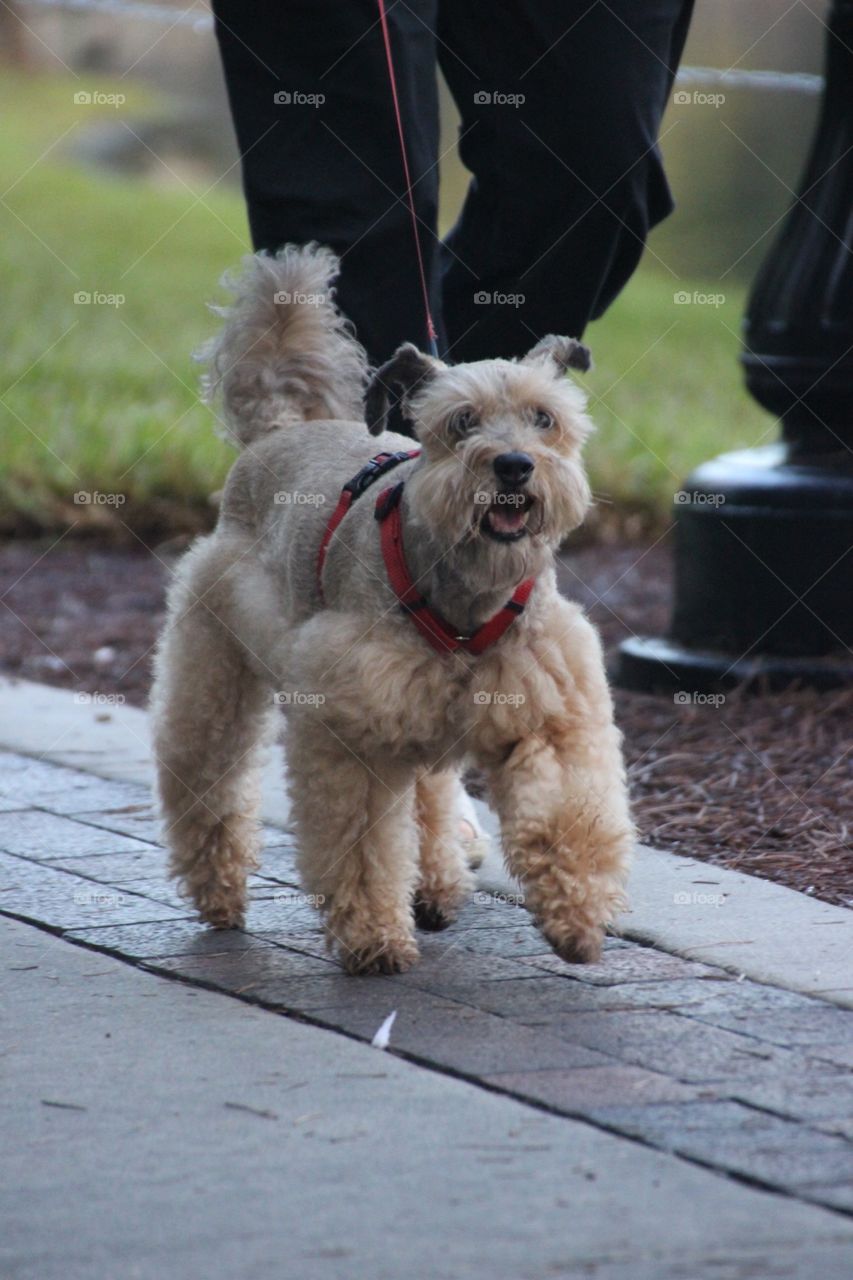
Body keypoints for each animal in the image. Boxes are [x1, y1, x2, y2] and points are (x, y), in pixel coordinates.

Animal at [151, 244, 630, 972]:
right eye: (462, 421)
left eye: (544, 418)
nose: (514, 466)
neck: (466, 596)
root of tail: (278, 431)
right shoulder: (357, 731)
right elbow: (362, 846)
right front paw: (375, 939)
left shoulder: (548, 715)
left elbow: (564, 815)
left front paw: (576, 918)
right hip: (216, 672)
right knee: (206, 775)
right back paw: (219, 891)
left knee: (430, 800)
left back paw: (436, 886)